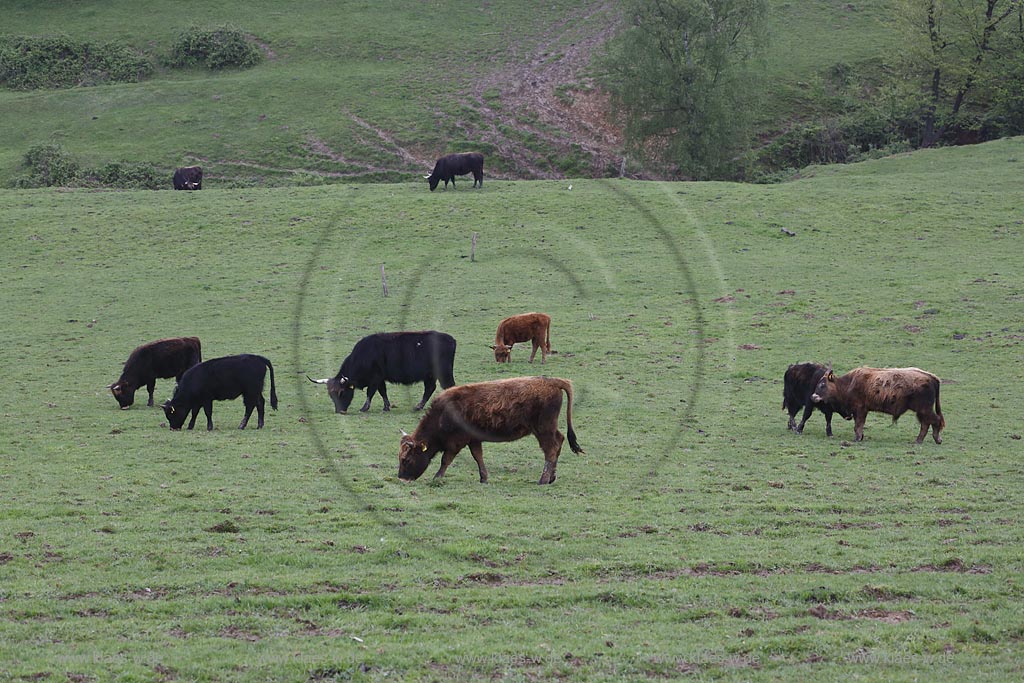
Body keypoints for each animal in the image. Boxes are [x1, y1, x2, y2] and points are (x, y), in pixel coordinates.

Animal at [305, 329, 458, 411]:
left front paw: (364, 408)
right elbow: (382, 392)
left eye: (341, 392)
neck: (364, 355)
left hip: (444, 373)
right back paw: (418, 406)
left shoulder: (375, 378)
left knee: (448, 386)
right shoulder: (380, 379)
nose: (339, 411)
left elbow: (370, 392)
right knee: (430, 388)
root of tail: (450, 339)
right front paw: (386, 406)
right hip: (430, 375)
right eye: (331, 395)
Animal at [397, 376, 581, 483]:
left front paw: (437, 477)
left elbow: (446, 460)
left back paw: (543, 479)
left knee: (551, 450)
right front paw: (484, 478)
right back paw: (552, 477)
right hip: (547, 429)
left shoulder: (457, 442)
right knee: (559, 441)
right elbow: (478, 456)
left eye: (406, 459)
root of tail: (552, 381)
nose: (401, 478)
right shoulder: (473, 439)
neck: (442, 414)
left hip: (543, 429)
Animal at [811, 368, 946, 444]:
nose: (813, 396)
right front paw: (860, 437)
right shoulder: (859, 411)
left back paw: (932, 439)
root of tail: (932, 378)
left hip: (923, 409)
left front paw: (857, 438)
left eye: (822, 384)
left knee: (934, 421)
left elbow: (858, 425)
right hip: (923, 411)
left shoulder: (860, 409)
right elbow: (859, 425)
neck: (848, 384)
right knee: (927, 423)